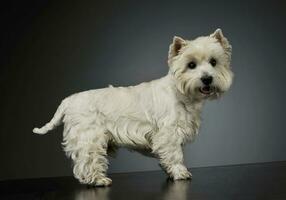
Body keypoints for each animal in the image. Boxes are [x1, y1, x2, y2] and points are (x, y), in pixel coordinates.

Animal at [34, 28, 235, 187]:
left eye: (214, 62)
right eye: (191, 65)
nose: (207, 78)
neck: (182, 94)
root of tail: (68, 100)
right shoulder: (168, 133)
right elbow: (175, 154)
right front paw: (180, 173)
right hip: (89, 137)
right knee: (87, 161)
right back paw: (98, 180)